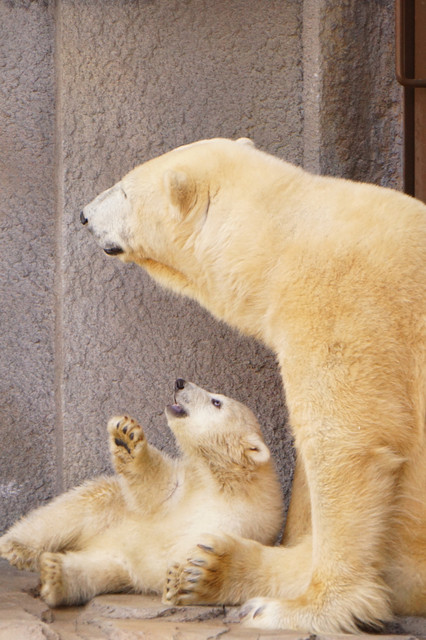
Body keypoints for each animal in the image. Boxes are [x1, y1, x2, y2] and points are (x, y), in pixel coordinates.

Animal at [80, 138, 426, 632]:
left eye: (124, 188)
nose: (84, 215)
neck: (285, 238)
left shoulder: (342, 306)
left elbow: (346, 442)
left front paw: (314, 607)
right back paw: (210, 567)